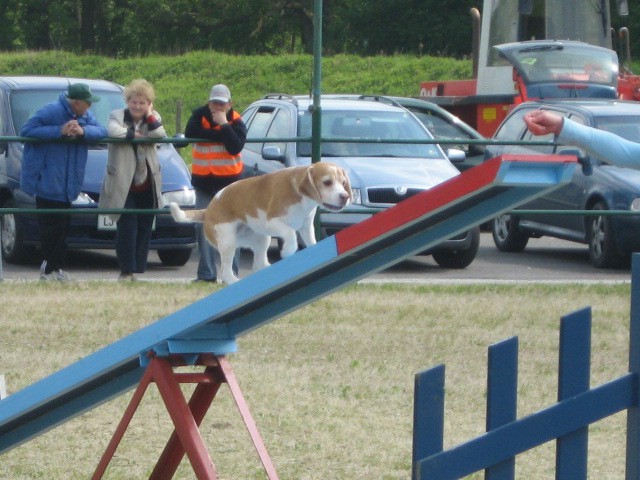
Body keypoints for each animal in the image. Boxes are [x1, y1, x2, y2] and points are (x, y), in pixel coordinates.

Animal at [170, 163, 350, 284]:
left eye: (342, 183)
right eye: (327, 182)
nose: (345, 196)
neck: (302, 196)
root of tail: (207, 210)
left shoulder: (306, 227)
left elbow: (311, 242)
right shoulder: (273, 222)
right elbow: (290, 234)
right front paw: (287, 251)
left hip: (262, 239)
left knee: (258, 264)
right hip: (228, 242)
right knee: (226, 272)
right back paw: (235, 281)